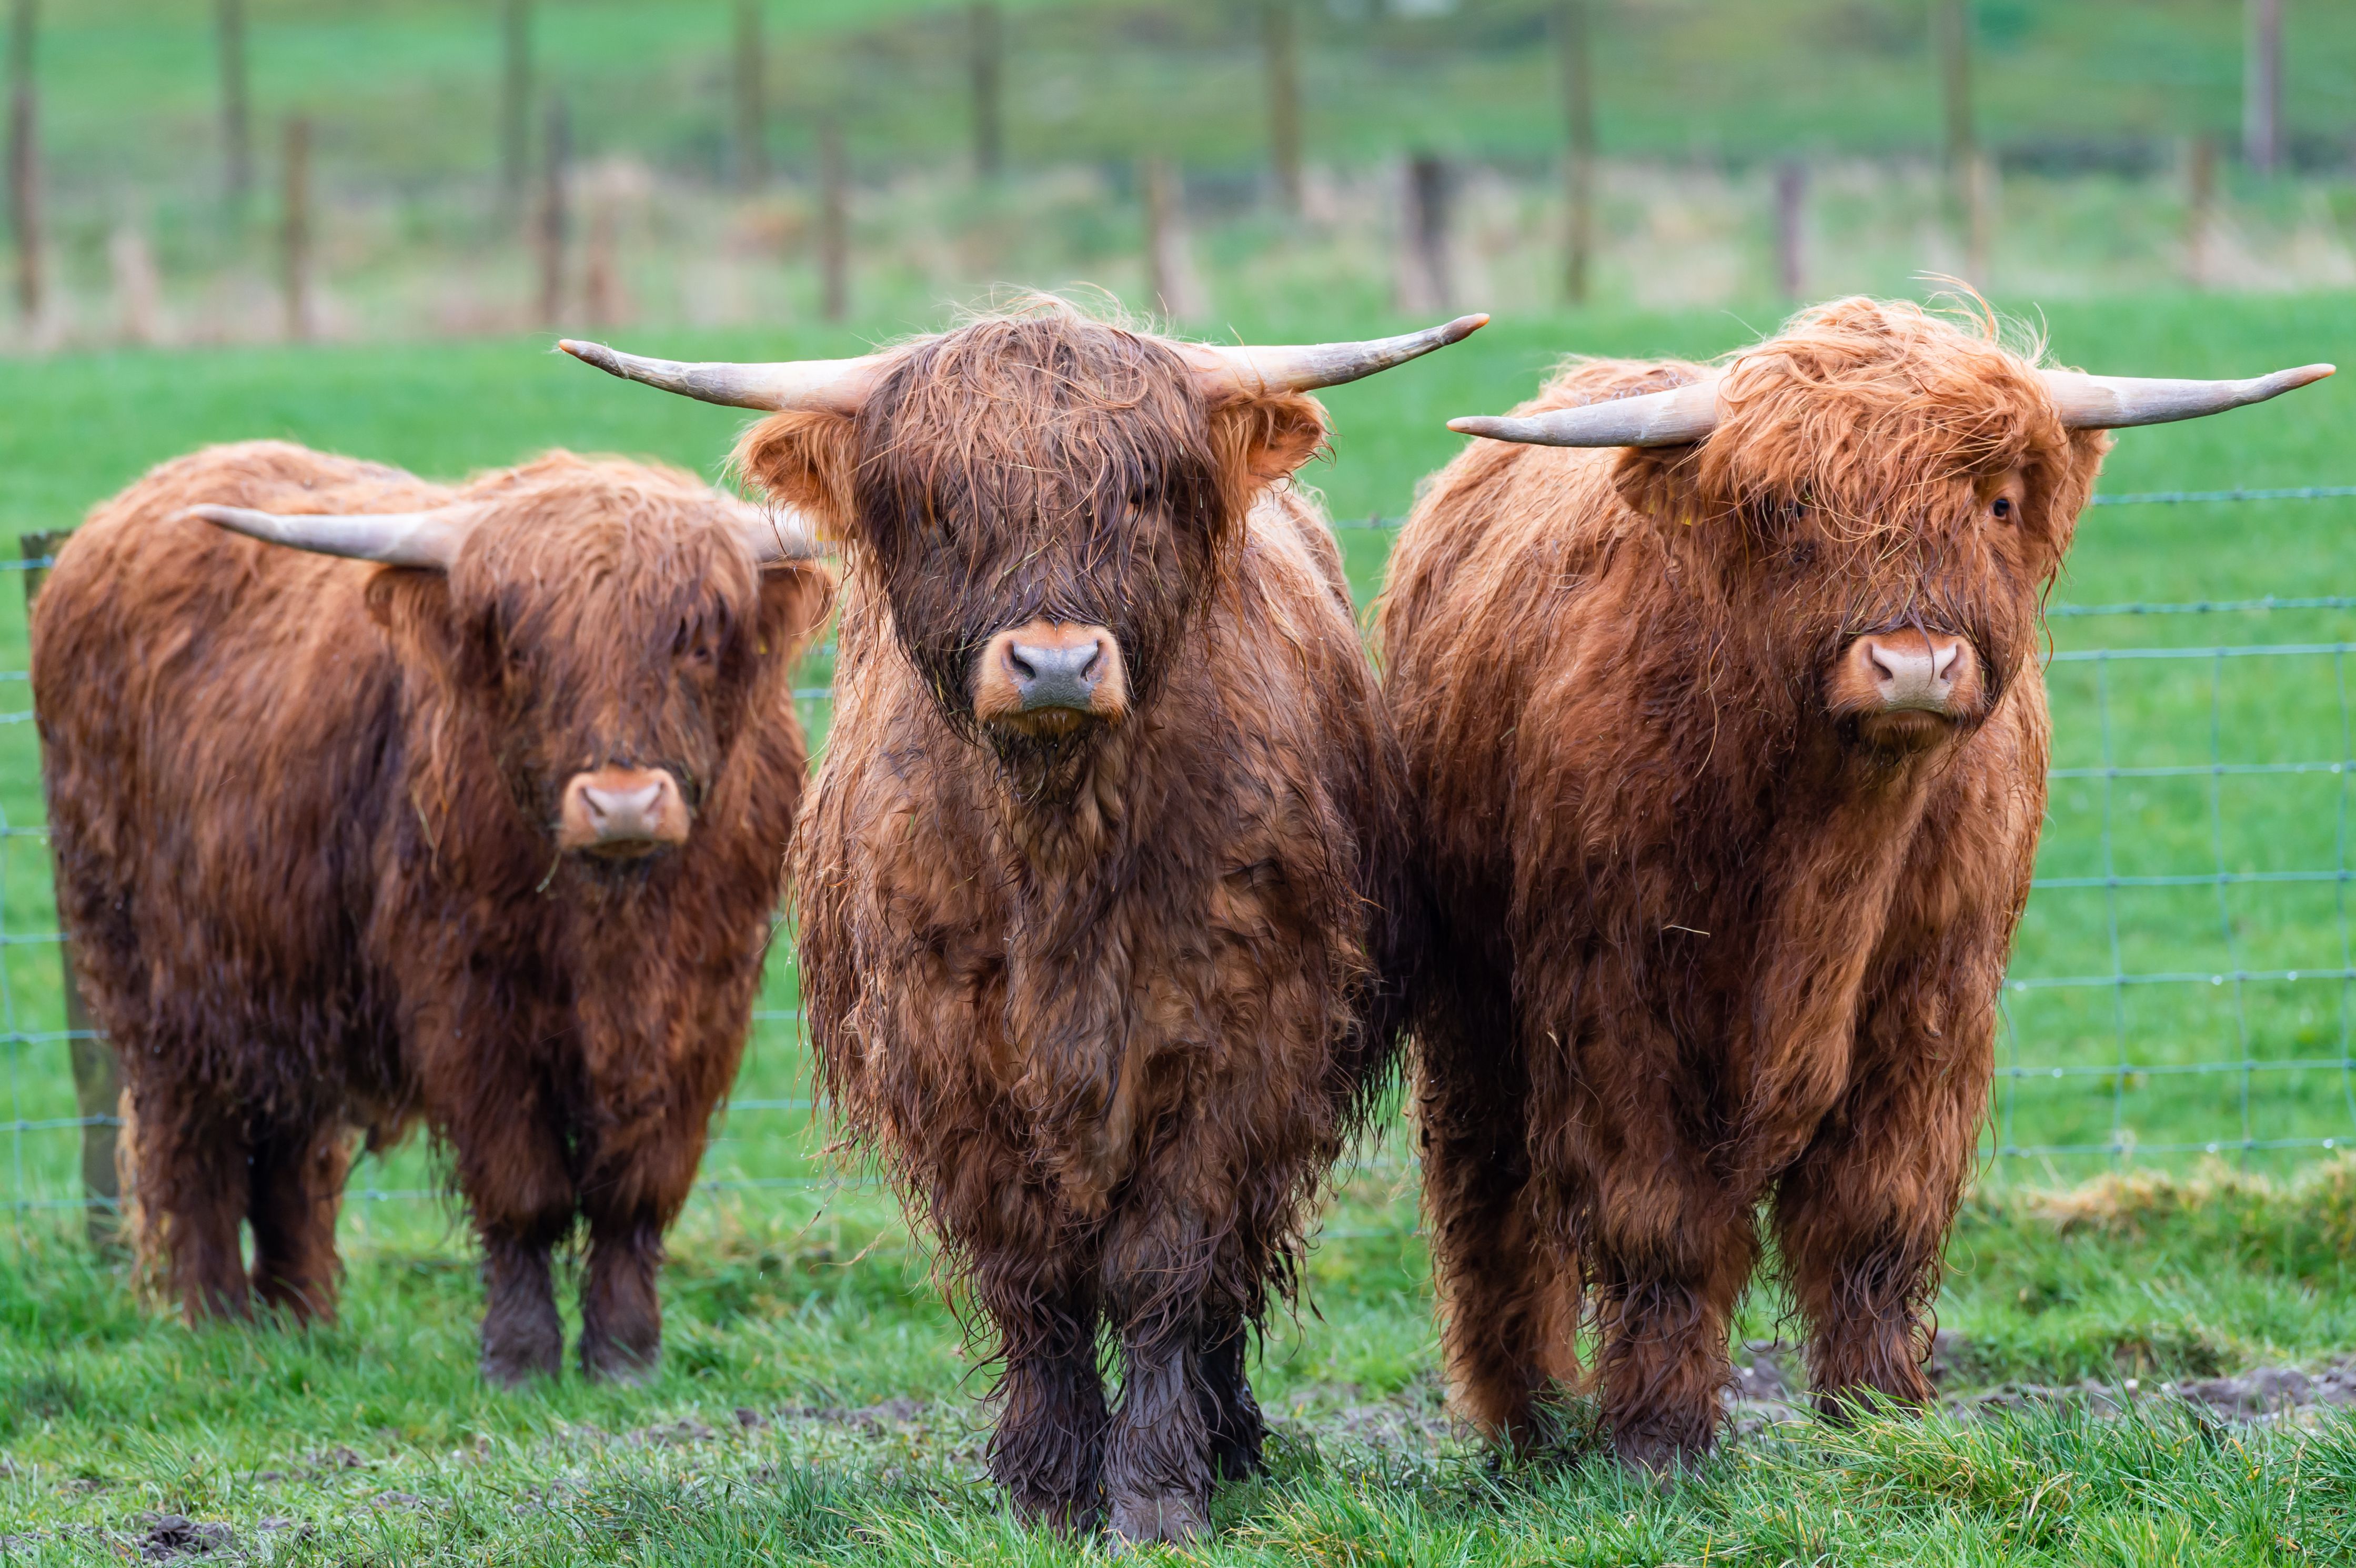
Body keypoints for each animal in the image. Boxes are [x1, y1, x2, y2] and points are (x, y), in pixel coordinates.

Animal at [32, 441, 831, 1385]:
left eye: (699, 640)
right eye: (521, 648)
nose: (622, 803)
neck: (609, 923)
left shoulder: (703, 1006)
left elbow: (638, 1187)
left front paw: (626, 1353)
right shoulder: (469, 1006)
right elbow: (522, 1190)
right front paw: (519, 1359)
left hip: (284, 976)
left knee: (288, 1148)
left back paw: (301, 1322)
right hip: (164, 984)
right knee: (197, 1146)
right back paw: (218, 1323)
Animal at [560, 300, 1480, 1541]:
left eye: (1141, 493)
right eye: (940, 506)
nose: (1054, 663)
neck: (1057, 856)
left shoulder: (1244, 1042)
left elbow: (1167, 1262)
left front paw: (1156, 1491)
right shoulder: (946, 1055)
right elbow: (1030, 1273)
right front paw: (1047, 1484)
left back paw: (1228, 1437)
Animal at [1377, 296, 2329, 1467]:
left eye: (1995, 500)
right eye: (1789, 505)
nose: (1912, 662)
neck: (1826, 848)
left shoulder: (1928, 1004)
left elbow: (1873, 1217)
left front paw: (1876, 1418)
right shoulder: (1611, 1003)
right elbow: (1658, 1223)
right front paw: (1656, 1438)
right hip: (1474, 1000)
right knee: (1488, 1193)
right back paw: (1526, 1415)